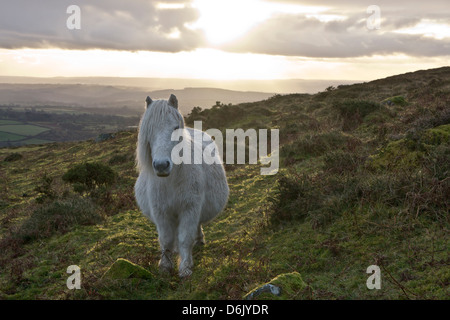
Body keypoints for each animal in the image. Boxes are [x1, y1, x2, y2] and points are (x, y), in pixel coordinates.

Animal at [134, 94, 229, 276]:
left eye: (175, 128)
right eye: (149, 129)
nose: (161, 165)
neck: (171, 180)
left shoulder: (189, 209)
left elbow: (185, 237)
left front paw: (185, 267)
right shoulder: (161, 212)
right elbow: (166, 240)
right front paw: (165, 266)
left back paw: (199, 240)